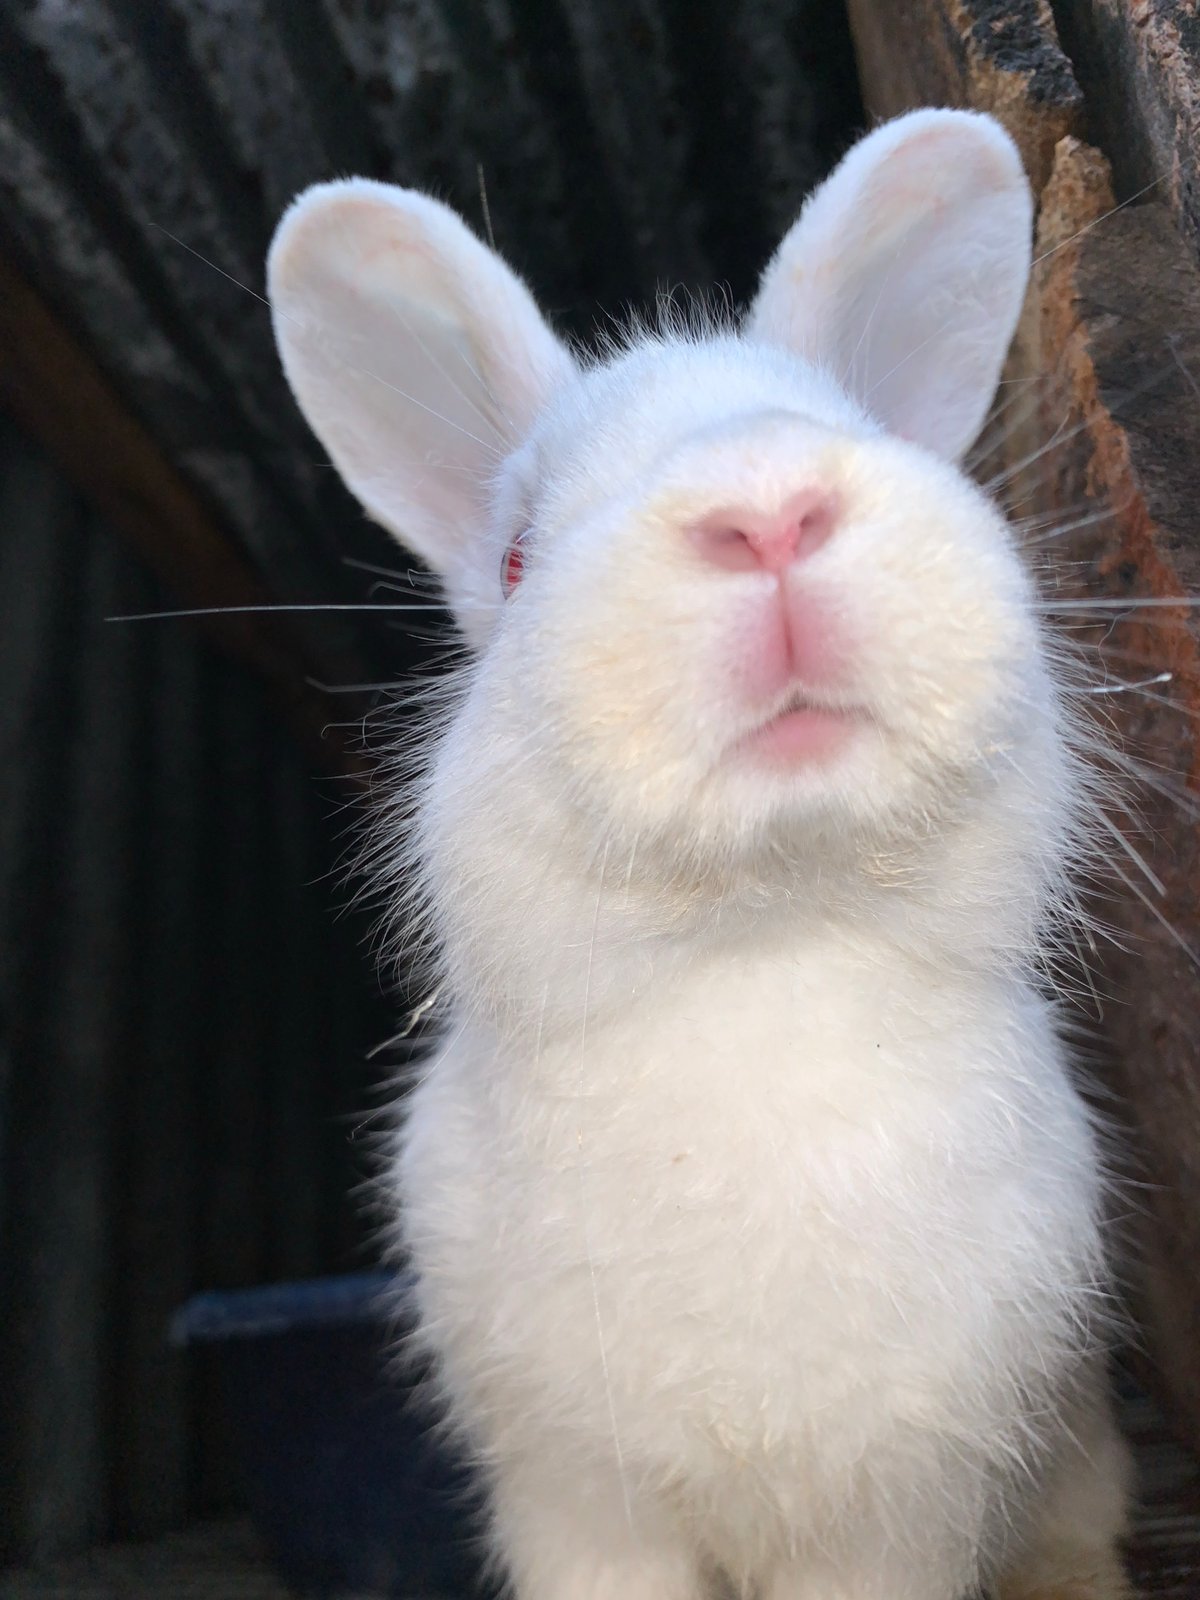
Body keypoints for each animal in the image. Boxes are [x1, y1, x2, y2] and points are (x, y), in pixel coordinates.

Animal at [267, 108, 1133, 1600]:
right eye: (514, 556)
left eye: (851, 430)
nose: (766, 506)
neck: (760, 950)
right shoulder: (578, 1503)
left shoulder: (892, 1515)